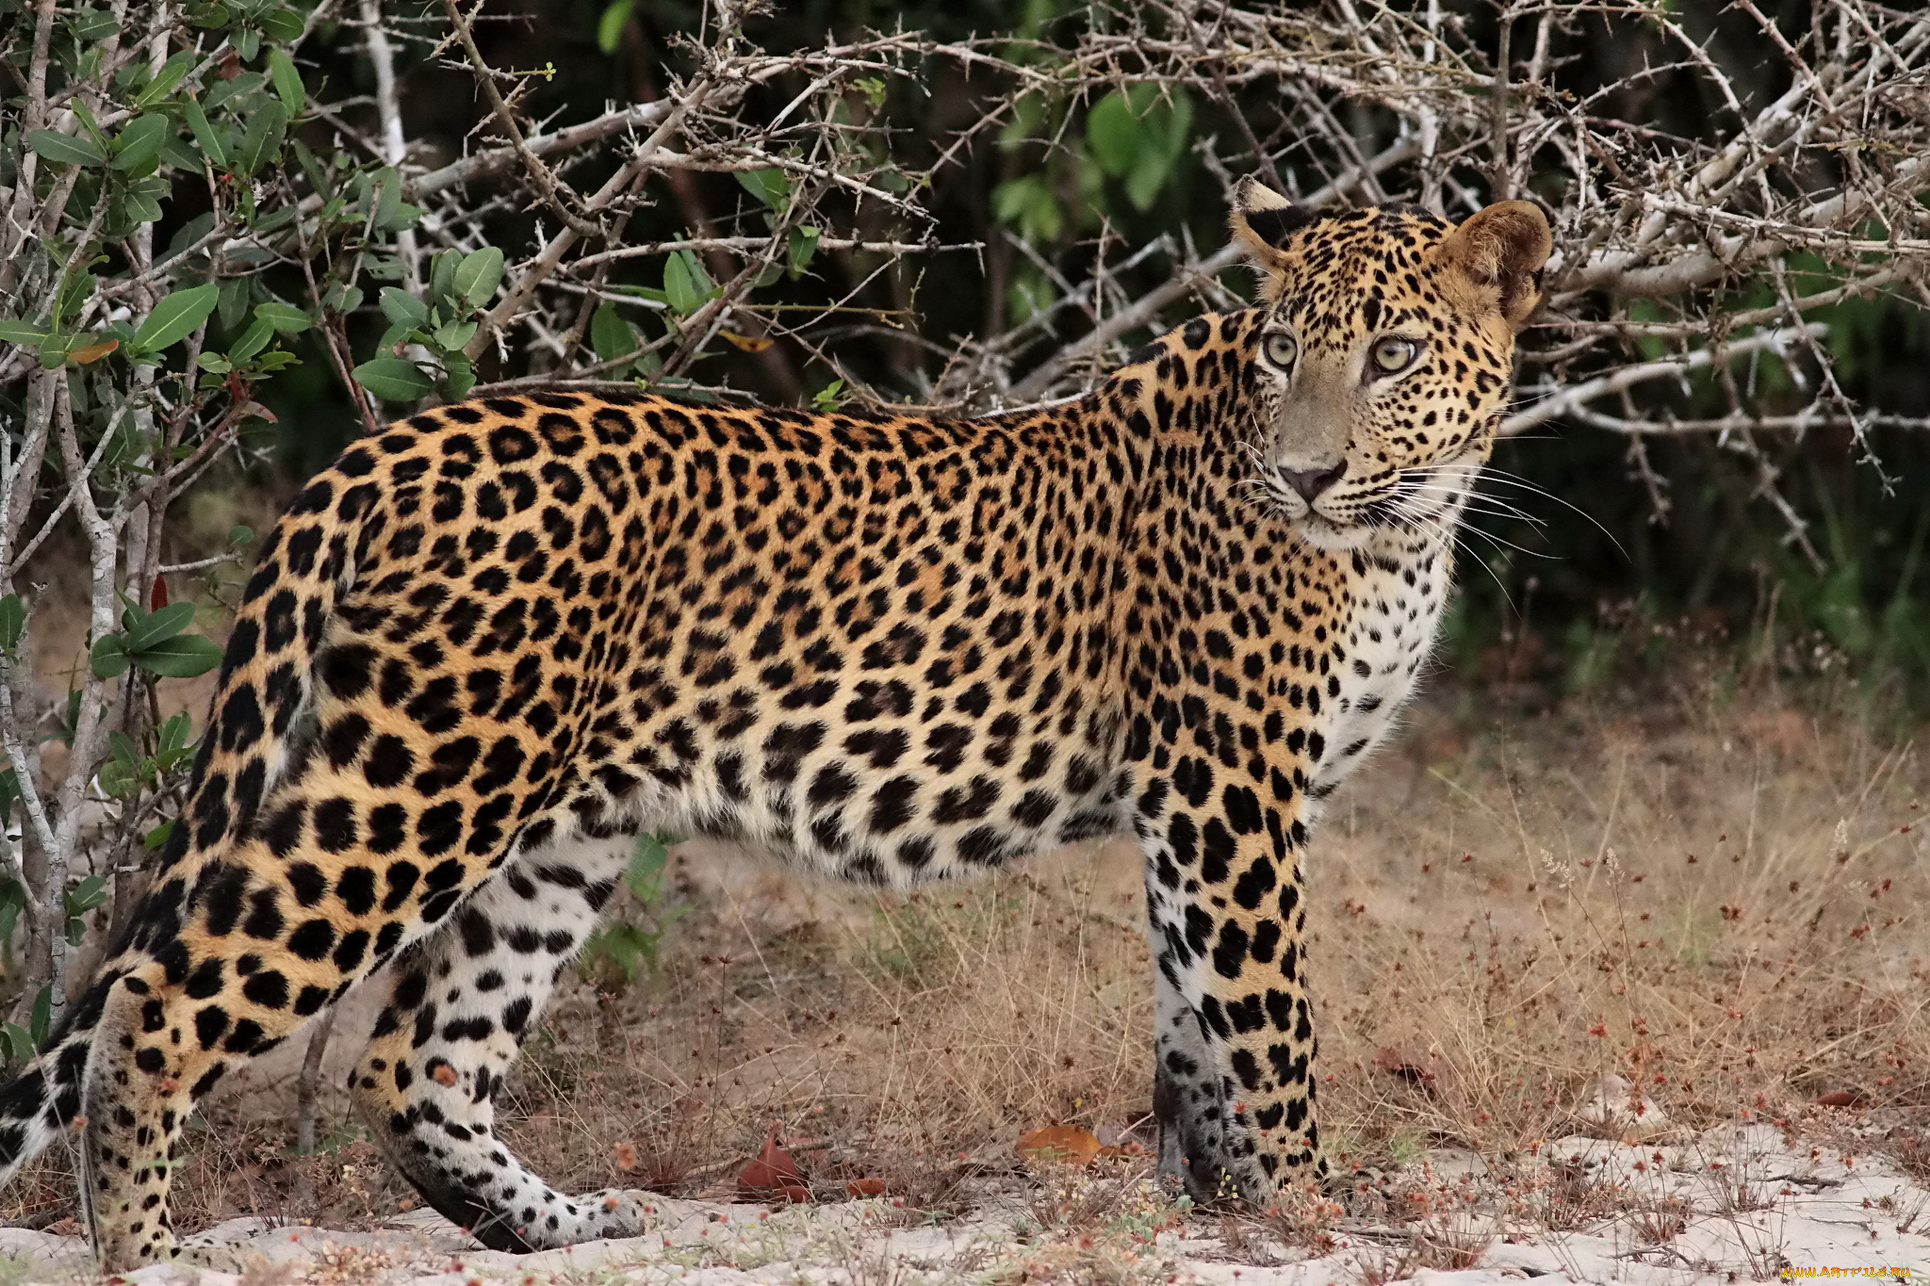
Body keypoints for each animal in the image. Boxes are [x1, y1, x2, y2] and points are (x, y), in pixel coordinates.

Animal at [0, 178, 1549, 1271]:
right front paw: (1311, 1205)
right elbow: (1266, 1018)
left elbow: (1192, 1024)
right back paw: (146, 1251)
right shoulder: (1229, 786)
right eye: (1287, 348)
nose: (1306, 473)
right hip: (426, 782)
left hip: (558, 824)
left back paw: (563, 1226)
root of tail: (399, 441)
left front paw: (1216, 1207)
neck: (1401, 529)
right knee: (164, 998)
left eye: (1392, 353)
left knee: (416, 1057)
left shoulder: (1208, 806)